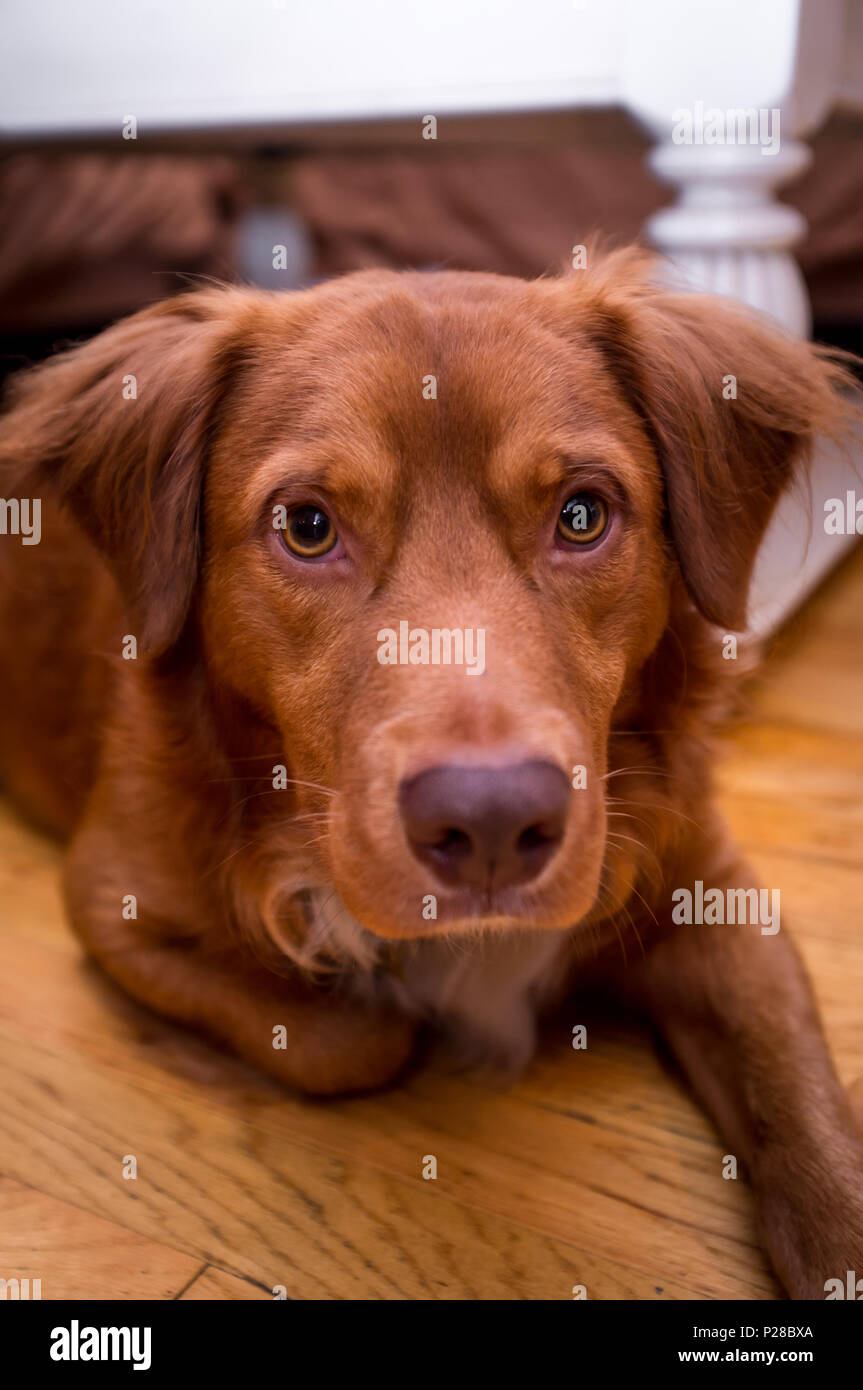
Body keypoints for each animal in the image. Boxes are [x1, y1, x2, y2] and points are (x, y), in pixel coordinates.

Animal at [1, 252, 861, 1301]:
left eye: (581, 515)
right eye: (307, 525)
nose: (490, 824)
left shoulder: (715, 892)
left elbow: (805, 1107)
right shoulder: (110, 901)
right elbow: (350, 1037)